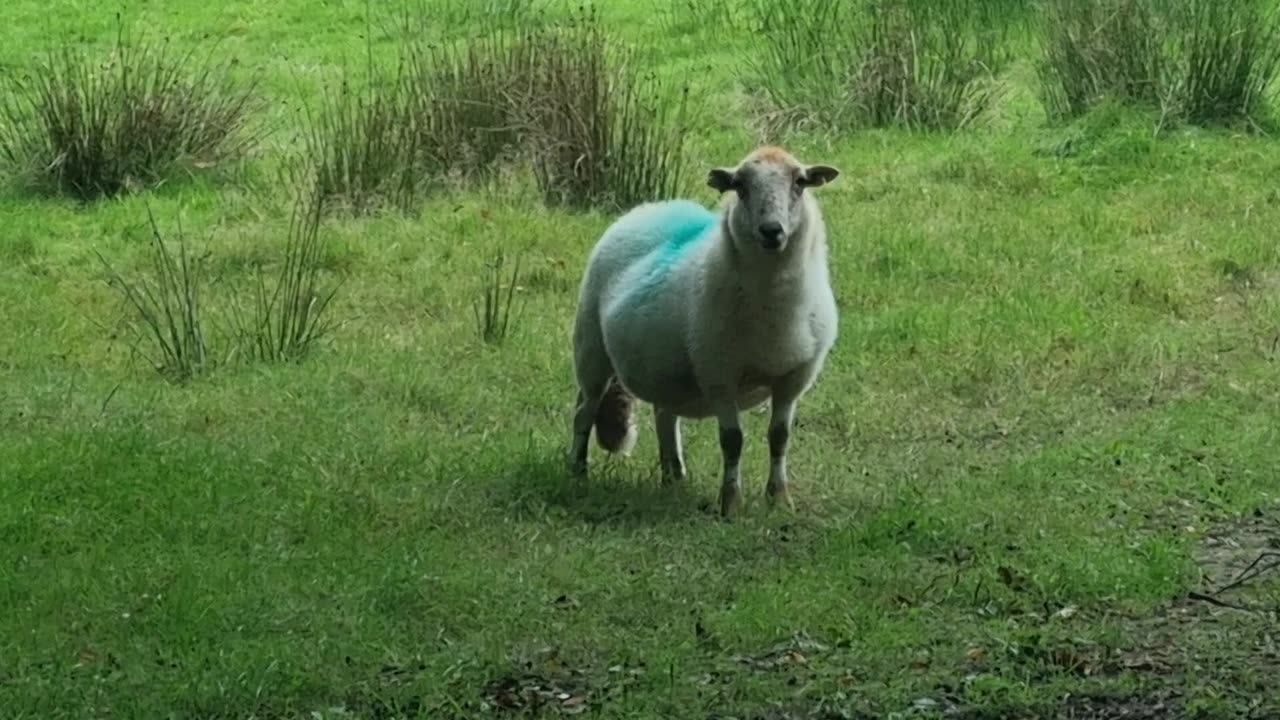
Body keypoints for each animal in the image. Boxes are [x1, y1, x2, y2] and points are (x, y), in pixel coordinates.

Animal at [570, 146, 839, 512]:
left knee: (664, 417)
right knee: (583, 413)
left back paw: (673, 477)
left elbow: (779, 437)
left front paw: (779, 498)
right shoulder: (719, 375)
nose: (771, 231)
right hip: (591, 351)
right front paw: (731, 503)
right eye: (739, 186)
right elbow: (732, 441)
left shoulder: (793, 378)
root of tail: (652, 206)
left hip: (662, 371)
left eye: (800, 182)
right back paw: (577, 471)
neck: (773, 310)